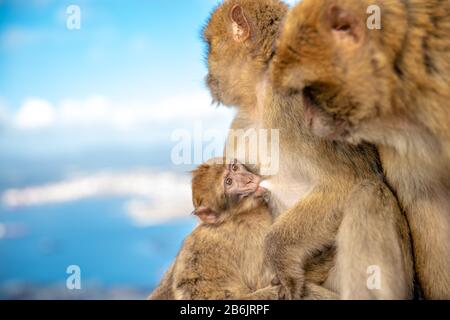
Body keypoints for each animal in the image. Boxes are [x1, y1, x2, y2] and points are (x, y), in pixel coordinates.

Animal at [204, 0, 414, 300]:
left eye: (210, 46)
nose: (208, 76)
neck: (261, 96)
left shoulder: (296, 106)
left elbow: (345, 182)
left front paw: (278, 254)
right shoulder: (240, 127)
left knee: (368, 194)